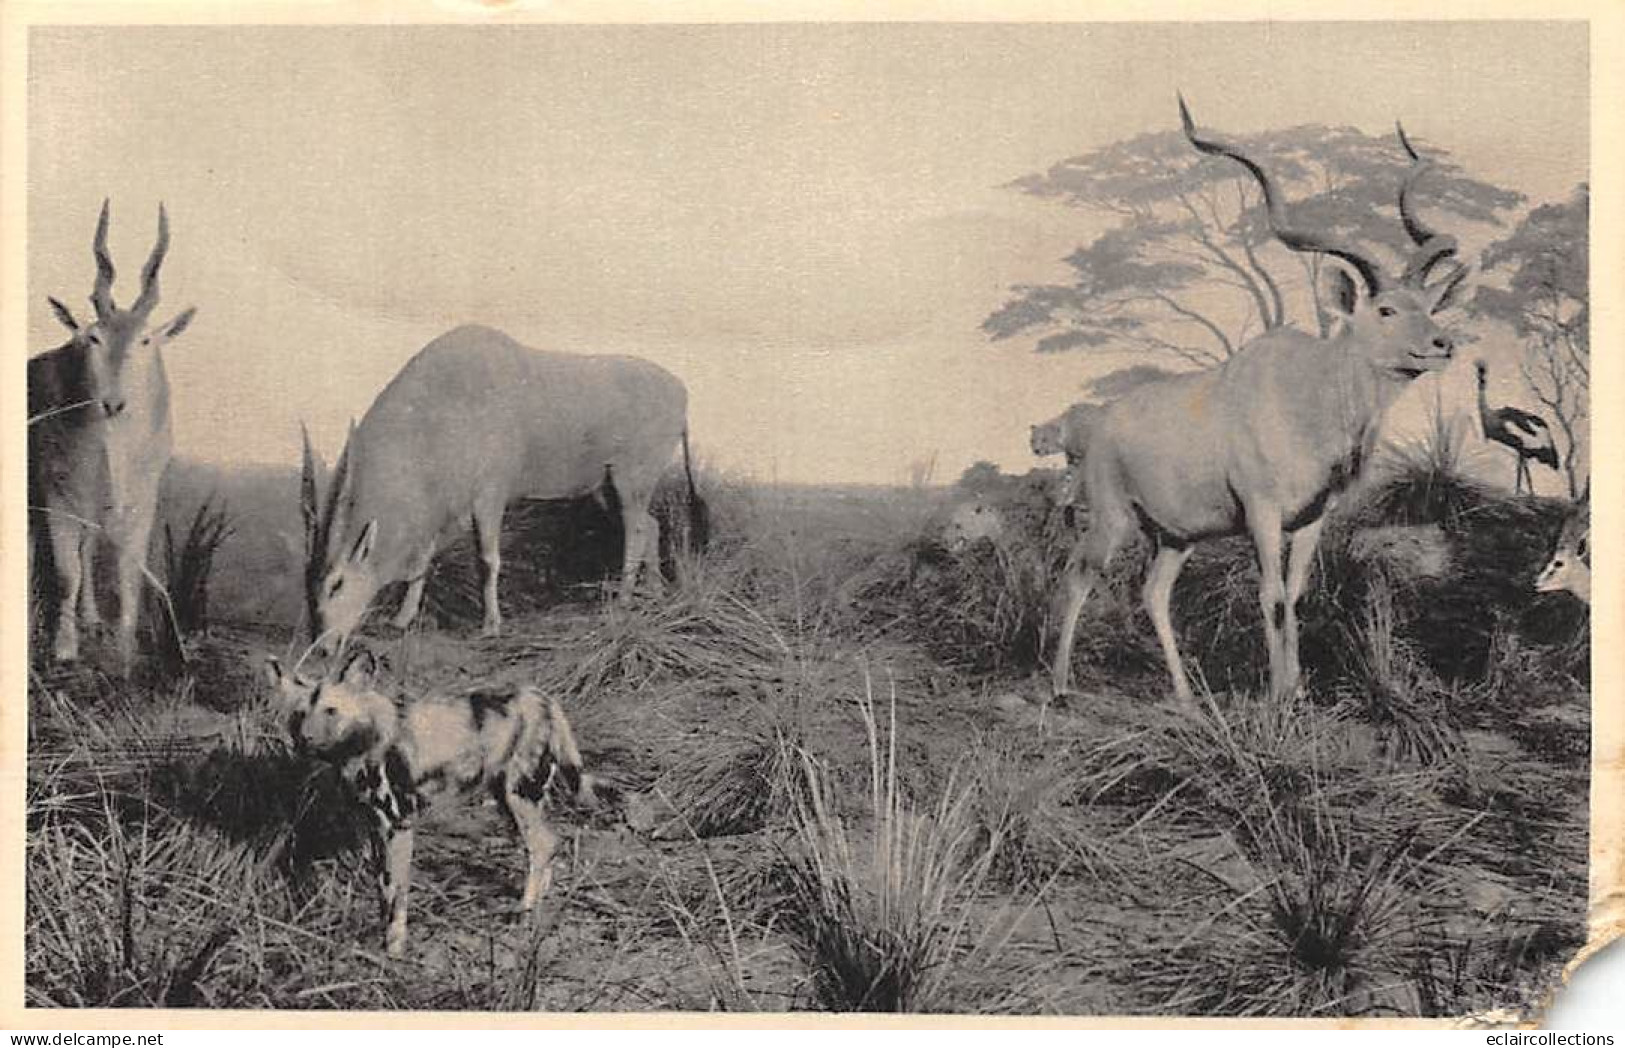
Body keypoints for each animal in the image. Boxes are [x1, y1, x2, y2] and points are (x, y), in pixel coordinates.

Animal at [27, 200, 198, 666]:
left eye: (145, 340)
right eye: (94, 338)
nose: (114, 404)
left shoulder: (141, 502)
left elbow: (128, 576)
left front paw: (124, 655)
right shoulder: (58, 496)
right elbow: (66, 573)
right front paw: (64, 650)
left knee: (89, 548)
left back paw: (91, 619)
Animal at [266, 649, 598, 961]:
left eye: (331, 711)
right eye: (298, 715)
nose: (305, 739)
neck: (363, 743)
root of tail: (543, 698)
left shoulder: (398, 826)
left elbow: (396, 897)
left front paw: (394, 953)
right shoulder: (377, 829)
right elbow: (382, 891)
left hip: (519, 795)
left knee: (543, 846)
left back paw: (525, 912)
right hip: (510, 798)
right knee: (548, 844)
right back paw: (540, 904)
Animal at [302, 324, 708, 653]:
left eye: (336, 584)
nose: (322, 646)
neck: (443, 406)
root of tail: (682, 393)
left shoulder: (489, 498)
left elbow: (487, 560)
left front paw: (491, 626)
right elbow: (424, 560)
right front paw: (401, 619)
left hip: (629, 480)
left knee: (636, 530)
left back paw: (624, 601)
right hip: (605, 488)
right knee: (650, 525)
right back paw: (654, 593)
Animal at [1046, 100, 1469, 701]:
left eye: (1430, 306)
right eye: (1385, 310)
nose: (1442, 344)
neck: (1310, 393)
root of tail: (1099, 426)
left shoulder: (1310, 520)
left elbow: (1294, 595)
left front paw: (1297, 693)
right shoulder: (1263, 516)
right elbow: (1270, 596)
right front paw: (1277, 698)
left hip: (1174, 538)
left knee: (1153, 592)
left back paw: (1187, 699)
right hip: (1112, 519)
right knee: (1080, 573)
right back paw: (1059, 685)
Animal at [1475, 359, 1560, 493]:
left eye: (1483, 375)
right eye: (1479, 374)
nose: (1481, 381)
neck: (1494, 417)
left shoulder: (1520, 445)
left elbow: (1520, 470)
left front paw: (1518, 491)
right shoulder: (1519, 449)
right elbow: (1522, 469)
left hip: (1537, 450)